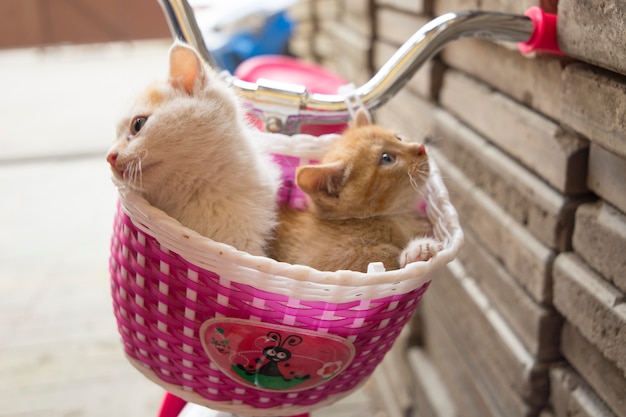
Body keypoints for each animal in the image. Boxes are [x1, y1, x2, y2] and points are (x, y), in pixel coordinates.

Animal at [266, 109, 438, 272]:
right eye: (387, 158)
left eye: (399, 139)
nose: (421, 148)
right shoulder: (324, 261)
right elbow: (381, 255)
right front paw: (415, 252)